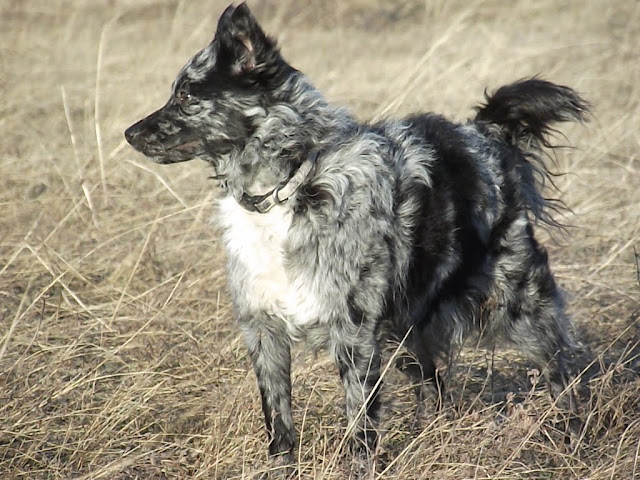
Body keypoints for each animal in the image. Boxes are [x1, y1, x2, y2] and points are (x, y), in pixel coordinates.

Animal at [125, 2, 589, 472]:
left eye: (187, 95)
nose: (130, 133)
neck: (286, 188)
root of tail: (485, 134)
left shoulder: (353, 336)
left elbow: (359, 428)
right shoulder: (264, 332)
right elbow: (279, 425)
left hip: (520, 308)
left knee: (560, 372)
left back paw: (571, 436)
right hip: (404, 331)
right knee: (434, 387)